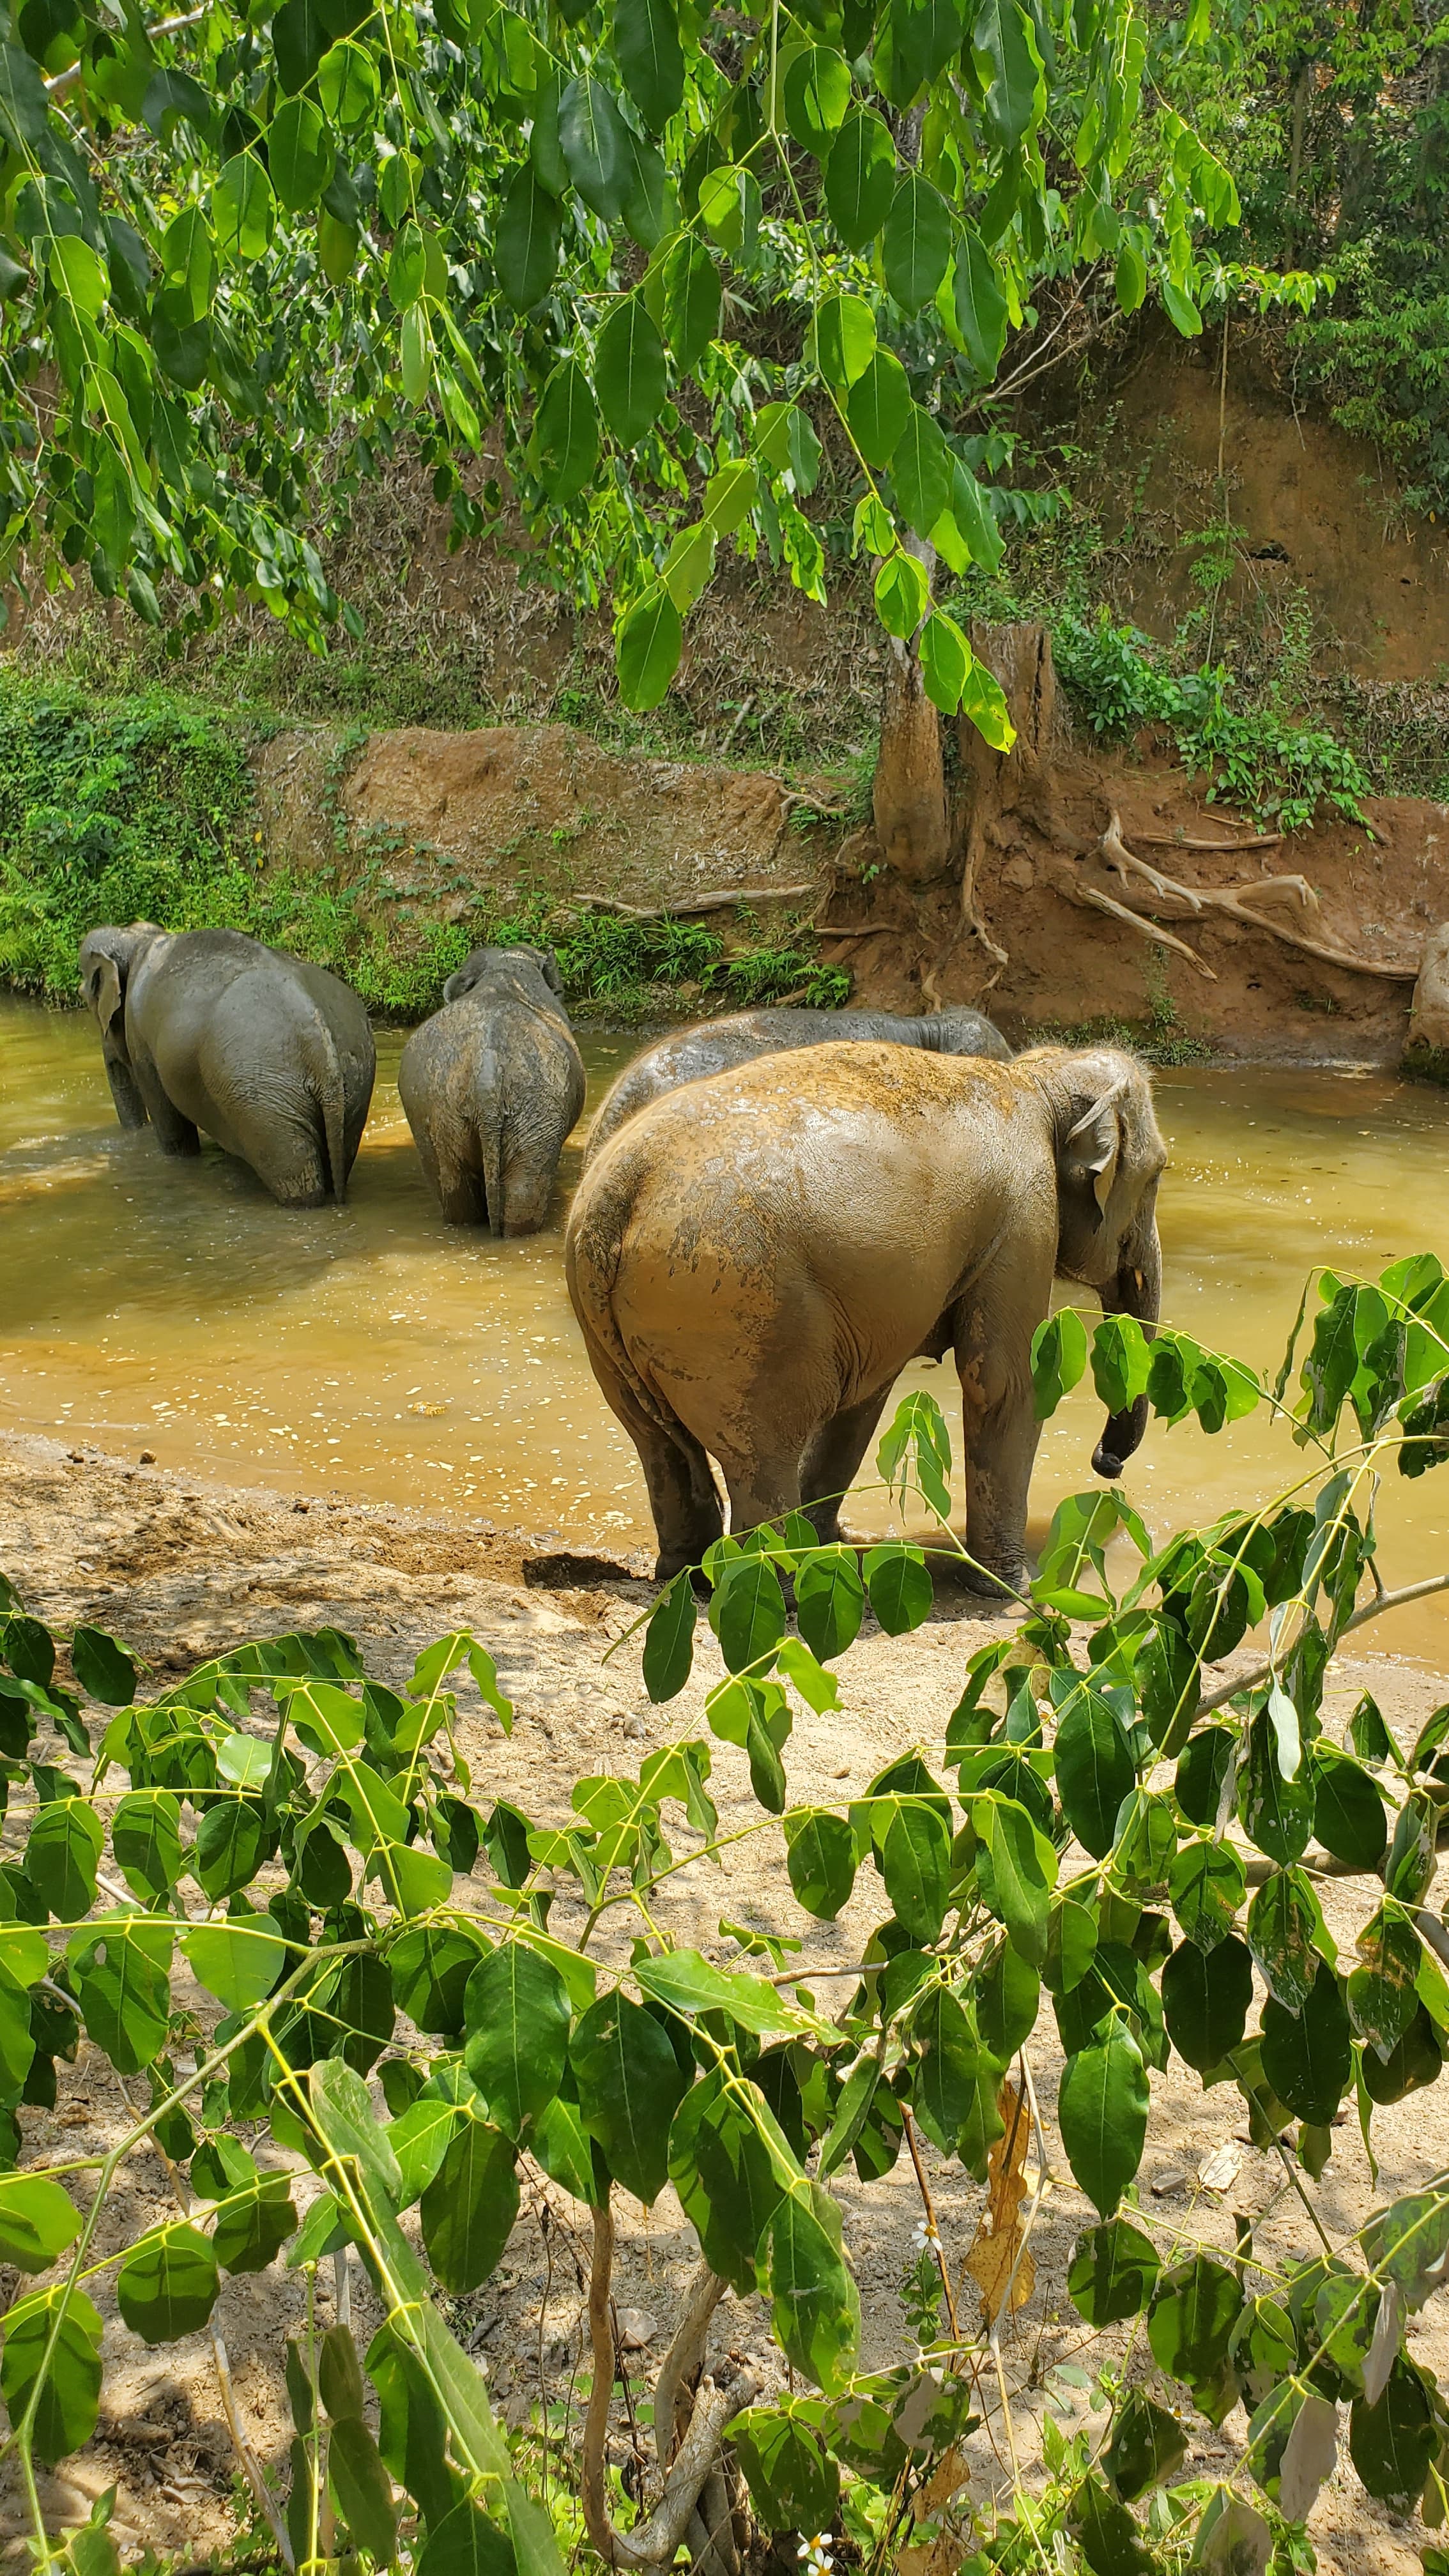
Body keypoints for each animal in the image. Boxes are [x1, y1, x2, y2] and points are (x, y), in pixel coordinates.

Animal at [78, 923, 376, 1207]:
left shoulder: (141, 1043)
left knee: (298, 1180)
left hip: (261, 1100)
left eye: (85, 995)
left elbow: (172, 1130)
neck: (137, 936)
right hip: (351, 1083)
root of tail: (317, 1034)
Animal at [566, 1043, 1164, 1588]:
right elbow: (1002, 1383)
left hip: (614, 1331)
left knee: (657, 1444)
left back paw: (687, 1575)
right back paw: (779, 1588)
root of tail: (613, 1198)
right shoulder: (1024, 1218)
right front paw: (1013, 1588)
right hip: (737, 1310)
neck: (1037, 1078)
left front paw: (836, 1540)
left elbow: (867, 1397)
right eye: (1158, 1174)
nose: (1107, 1465)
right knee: (760, 1455)